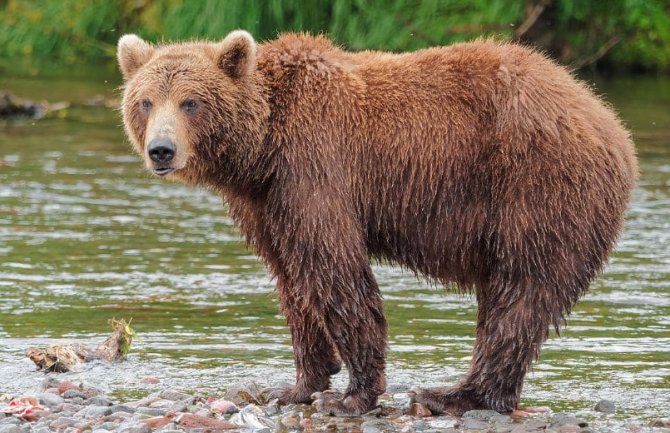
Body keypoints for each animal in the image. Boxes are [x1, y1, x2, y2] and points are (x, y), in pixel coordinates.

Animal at [118, 29, 636, 416]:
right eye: (146, 101)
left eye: (190, 102)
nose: (161, 150)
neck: (261, 149)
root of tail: (611, 123)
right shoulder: (266, 204)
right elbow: (291, 281)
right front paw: (297, 385)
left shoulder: (315, 168)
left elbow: (335, 270)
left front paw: (351, 395)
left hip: (538, 187)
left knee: (520, 292)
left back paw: (455, 394)